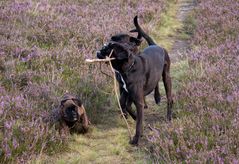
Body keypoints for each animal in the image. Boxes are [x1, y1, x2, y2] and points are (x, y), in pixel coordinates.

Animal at [97, 16, 174, 145]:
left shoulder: (137, 100)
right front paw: (132, 117)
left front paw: (136, 139)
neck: (129, 68)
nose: (98, 51)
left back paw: (168, 115)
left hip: (166, 77)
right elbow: (125, 105)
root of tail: (155, 45)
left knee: (169, 98)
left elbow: (138, 123)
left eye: (107, 48)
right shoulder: (126, 92)